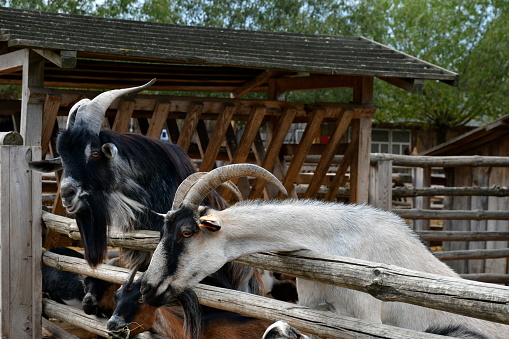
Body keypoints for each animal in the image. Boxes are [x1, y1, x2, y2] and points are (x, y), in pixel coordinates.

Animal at [141, 163, 508, 338]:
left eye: (187, 232)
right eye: (164, 230)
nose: (147, 287)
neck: (333, 240)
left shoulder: (366, 320)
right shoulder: (312, 311)